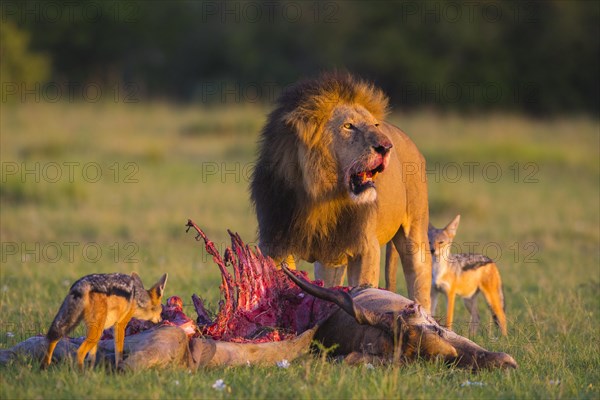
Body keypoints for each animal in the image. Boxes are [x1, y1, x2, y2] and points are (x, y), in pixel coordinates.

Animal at [250, 71, 432, 310]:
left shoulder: (365, 247)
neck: (320, 195)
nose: (386, 146)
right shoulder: (275, 245)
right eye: (348, 126)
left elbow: (365, 290)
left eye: (375, 125)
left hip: (415, 235)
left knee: (419, 277)